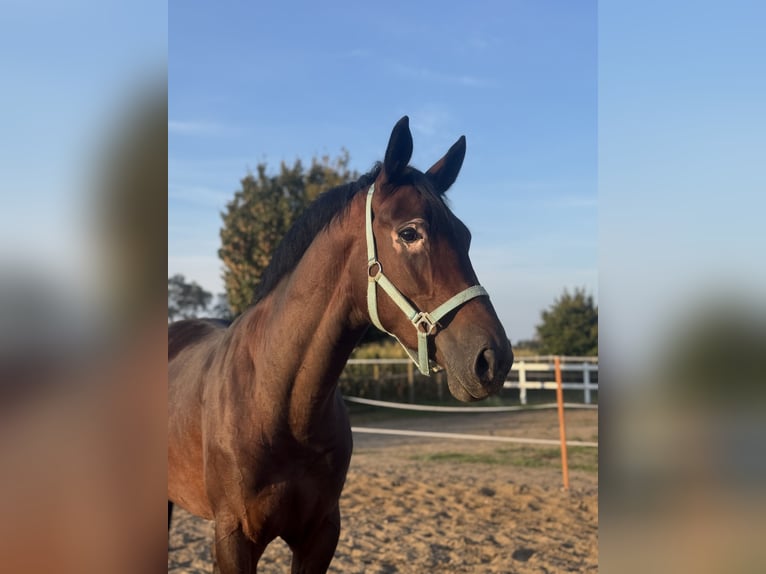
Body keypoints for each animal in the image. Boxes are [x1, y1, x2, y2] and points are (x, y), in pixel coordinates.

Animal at [168, 116, 514, 573]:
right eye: (410, 232)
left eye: (466, 236)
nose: (493, 358)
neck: (277, 401)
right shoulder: (232, 539)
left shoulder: (320, 534)